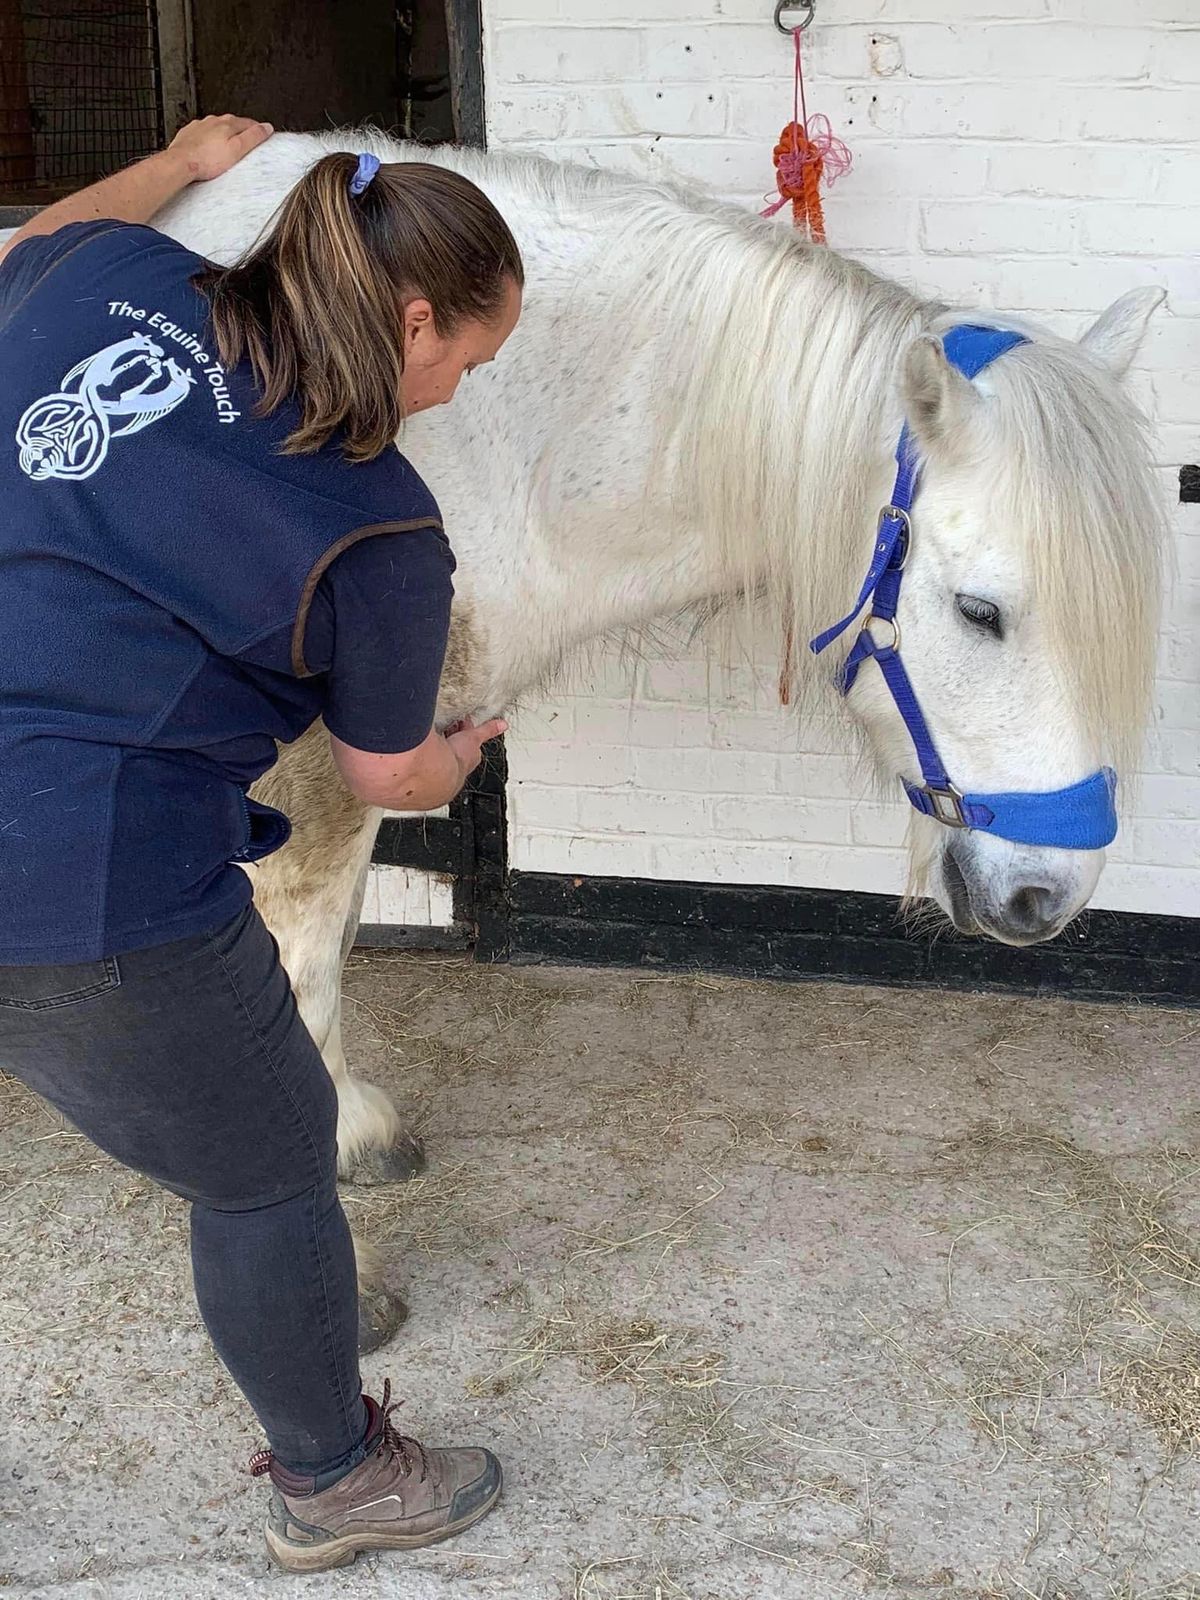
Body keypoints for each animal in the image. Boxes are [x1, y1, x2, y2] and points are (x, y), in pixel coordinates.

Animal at [155, 131, 1158, 1216]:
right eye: (981, 612)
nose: (1049, 896)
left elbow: (334, 941)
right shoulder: (307, 774)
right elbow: (304, 956)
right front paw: (336, 1143)